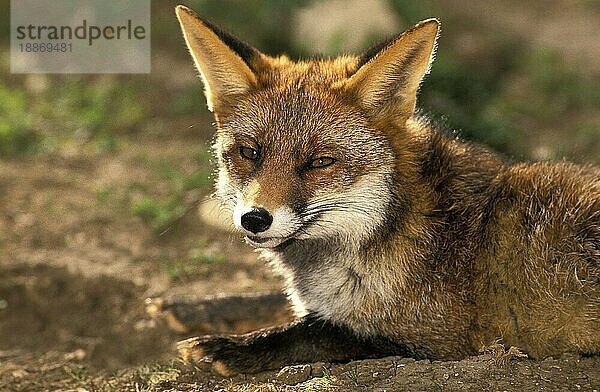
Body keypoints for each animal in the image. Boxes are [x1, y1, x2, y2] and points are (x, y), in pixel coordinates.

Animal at [171, 4, 596, 376]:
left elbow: (311, 332)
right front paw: (186, 309)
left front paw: (230, 347)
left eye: (320, 162)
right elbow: (270, 300)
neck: (392, 224)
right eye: (249, 153)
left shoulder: (439, 337)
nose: (254, 219)